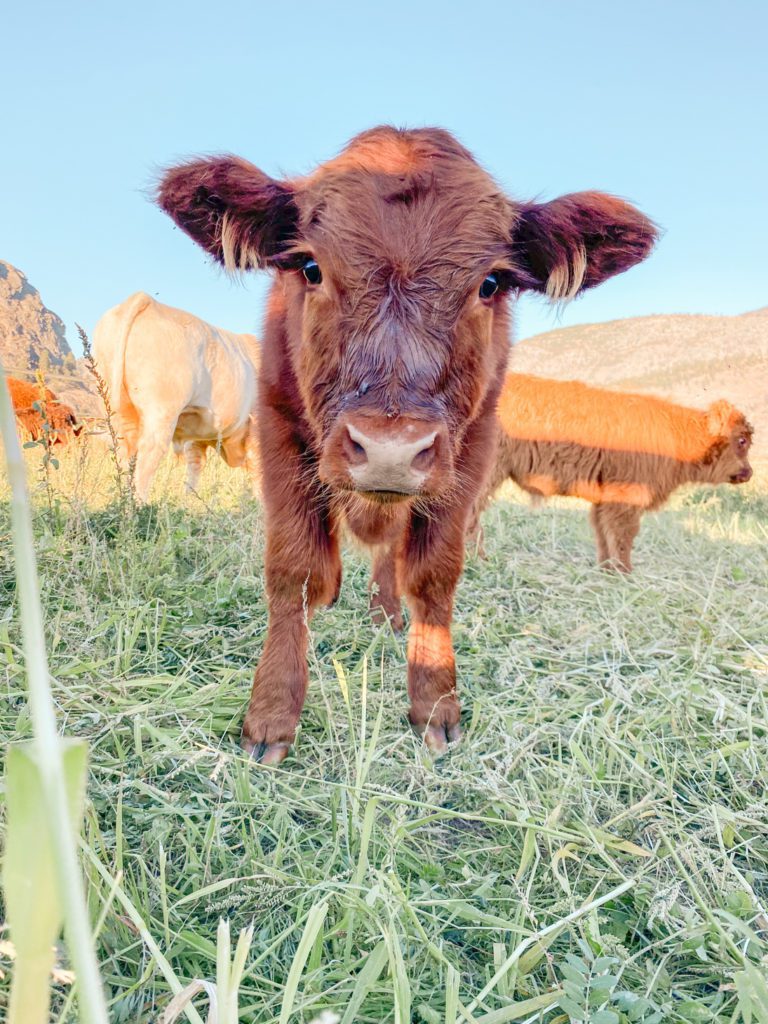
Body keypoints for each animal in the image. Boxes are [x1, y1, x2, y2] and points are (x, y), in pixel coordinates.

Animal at [92, 292, 262, 499]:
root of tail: (145, 299)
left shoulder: (197, 435)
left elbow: (195, 466)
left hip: (113, 406)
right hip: (161, 413)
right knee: (147, 457)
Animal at [159, 123, 659, 761]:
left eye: (489, 283)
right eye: (311, 267)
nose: (389, 451)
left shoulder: (469, 453)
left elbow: (432, 575)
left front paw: (435, 703)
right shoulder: (279, 434)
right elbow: (296, 573)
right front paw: (271, 715)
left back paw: (385, 612)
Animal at [475, 372, 753, 573]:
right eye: (741, 440)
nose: (749, 473)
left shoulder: (604, 500)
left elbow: (603, 536)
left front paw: (606, 570)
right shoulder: (626, 496)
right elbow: (622, 536)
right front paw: (625, 573)